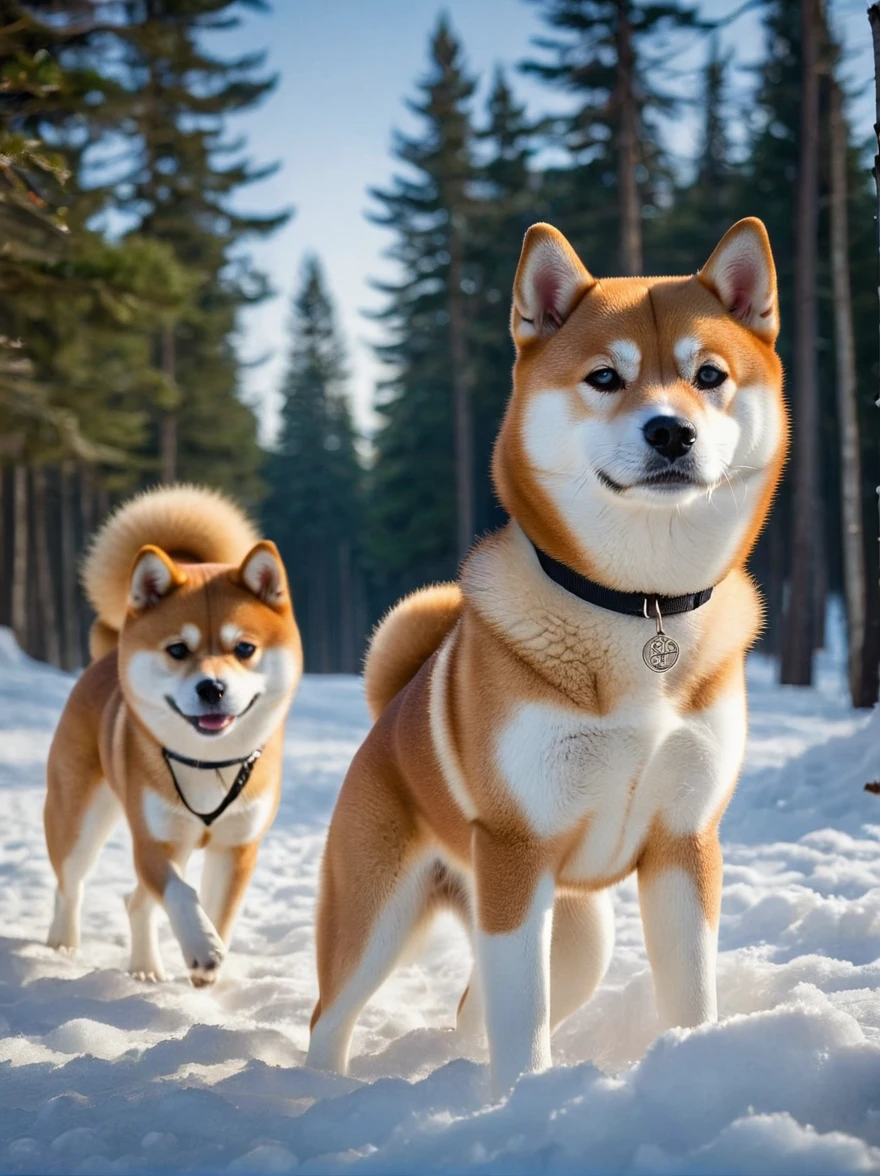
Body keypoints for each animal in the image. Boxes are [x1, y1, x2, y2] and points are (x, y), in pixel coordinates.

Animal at [44, 482, 303, 987]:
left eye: (245, 648)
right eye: (178, 650)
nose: (212, 688)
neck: (208, 763)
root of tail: (106, 656)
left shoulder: (236, 846)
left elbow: (218, 908)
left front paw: (206, 964)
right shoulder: (154, 840)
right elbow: (182, 894)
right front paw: (202, 948)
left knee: (136, 902)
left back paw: (146, 968)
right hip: (80, 816)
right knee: (71, 882)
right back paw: (62, 944)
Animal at [305, 218, 785, 1091]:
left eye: (709, 374)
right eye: (604, 377)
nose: (671, 429)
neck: (640, 607)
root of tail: (388, 713)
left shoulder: (683, 843)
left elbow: (689, 993)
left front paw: (692, 1065)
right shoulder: (515, 851)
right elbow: (520, 1019)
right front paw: (520, 1099)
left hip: (576, 932)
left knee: (476, 1007)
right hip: (385, 905)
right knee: (333, 1015)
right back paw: (316, 1090)